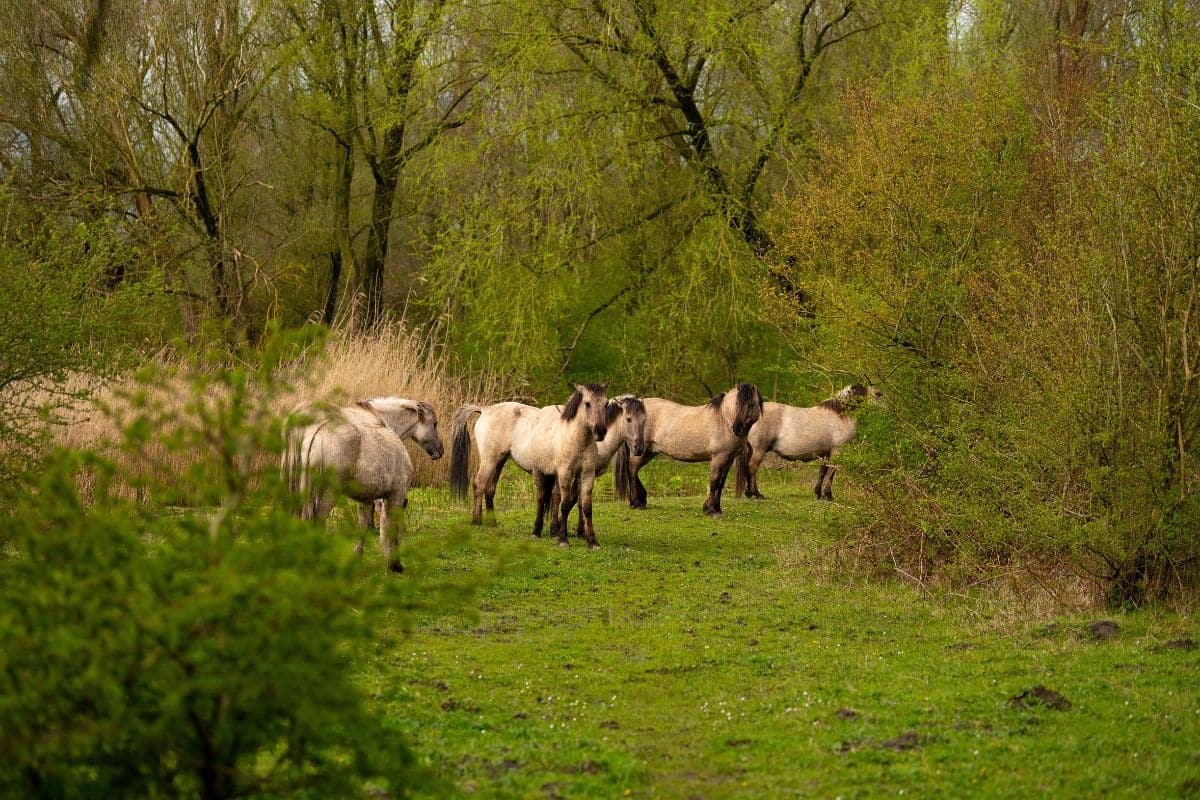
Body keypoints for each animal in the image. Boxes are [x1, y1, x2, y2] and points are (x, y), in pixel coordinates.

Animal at [282, 397, 443, 572]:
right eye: (434, 424)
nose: (440, 451)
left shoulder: (365, 497)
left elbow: (364, 525)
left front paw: (358, 554)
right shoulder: (394, 494)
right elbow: (388, 525)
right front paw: (393, 562)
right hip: (326, 495)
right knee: (317, 521)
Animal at [448, 383, 611, 547]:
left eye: (606, 404)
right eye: (587, 404)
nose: (600, 431)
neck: (572, 437)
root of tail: (485, 410)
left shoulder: (587, 474)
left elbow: (585, 506)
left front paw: (591, 541)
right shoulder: (565, 474)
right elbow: (564, 505)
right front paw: (563, 540)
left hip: (500, 461)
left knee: (489, 489)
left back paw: (492, 523)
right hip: (489, 460)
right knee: (479, 484)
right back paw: (477, 521)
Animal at [537, 394, 647, 540]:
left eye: (644, 420)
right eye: (628, 419)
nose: (638, 449)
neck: (600, 444)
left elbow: (577, 499)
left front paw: (579, 530)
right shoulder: (582, 474)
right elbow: (576, 500)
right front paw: (579, 531)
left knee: (555, 495)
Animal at [613, 383, 763, 517]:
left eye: (751, 404)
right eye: (737, 404)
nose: (737, 429)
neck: (724, 420)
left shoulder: (729, 459)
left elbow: (721, 483)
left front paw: (717, 508)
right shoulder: (718, 458)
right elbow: (714, 481)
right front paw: (710, 510)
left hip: (648, 452)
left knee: (634, 471)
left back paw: (641, 500)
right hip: (640, 451)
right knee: (632, 470)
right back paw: (636, 503)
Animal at [734, 383, 882, 502]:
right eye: (877, 394)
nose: (885, 405)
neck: (840, 416)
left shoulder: (825, 453)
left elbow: (822, 471)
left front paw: (818, 494)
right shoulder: (837, 451)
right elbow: (831, 472)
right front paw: (828, 495)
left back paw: (749, 493)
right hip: (759, 449)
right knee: (752, 468)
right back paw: (756, 493)